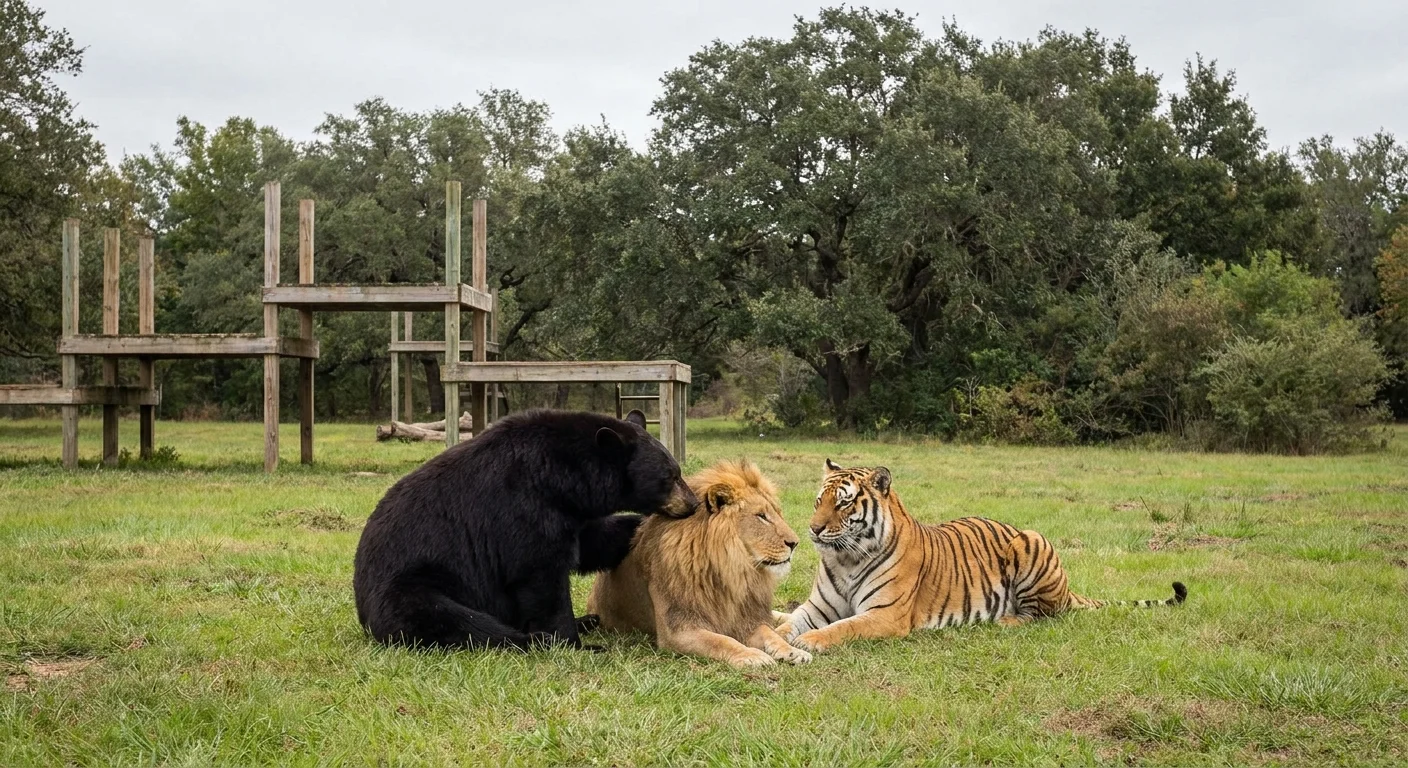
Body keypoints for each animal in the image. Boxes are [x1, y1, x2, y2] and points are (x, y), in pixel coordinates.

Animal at [352, 408, 697, 650]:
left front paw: (635, 525)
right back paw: (538, 638)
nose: (693, 503)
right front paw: (572, 643)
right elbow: (540, 576)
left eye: (677, 471)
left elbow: (591, 542)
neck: (560, 476)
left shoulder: (568, 511)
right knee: (460, 622)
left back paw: (589, 620)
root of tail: (362, 608)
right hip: (411, 588)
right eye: (669, 477)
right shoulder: (523, 506)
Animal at [585, 460, 811, 667]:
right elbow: (722, 641)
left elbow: (769, 633)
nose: (795, 543)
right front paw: (752, 656)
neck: (731, 571)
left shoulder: (746, 617)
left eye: (777, 513)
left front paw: (792, 651)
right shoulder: (678, 629)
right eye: (761, 516)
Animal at [777, 460, 1187, 653]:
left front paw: (809, 641)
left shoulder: (885, 615)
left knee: (1043, 614)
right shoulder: (816, 608)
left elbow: (843, 627)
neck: (847, 559)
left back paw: (1006, 620)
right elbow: (788, 623)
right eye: (819, 501)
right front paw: (777, 636)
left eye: (844, 503)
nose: (812, 530)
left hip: (1032, 543)